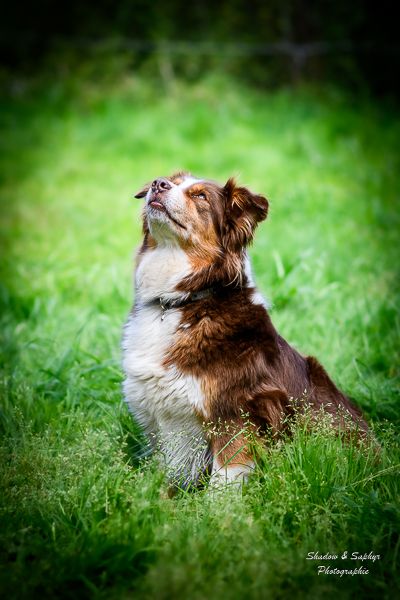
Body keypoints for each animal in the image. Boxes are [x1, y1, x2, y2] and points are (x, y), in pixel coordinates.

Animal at [122, 171, 368, 490]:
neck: (183, 299)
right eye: (171, 181)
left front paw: (217, 505)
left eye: (200, 196)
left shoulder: (238, 414)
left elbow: (223, 481)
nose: (158, 184)